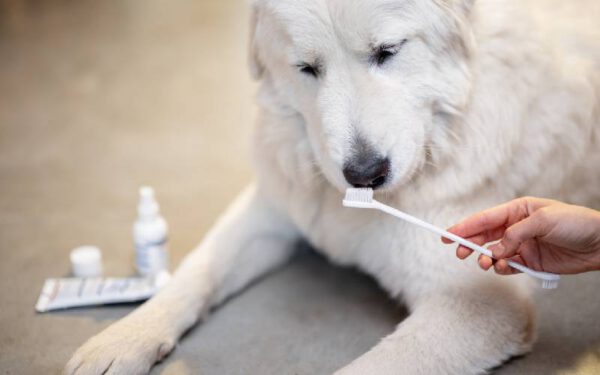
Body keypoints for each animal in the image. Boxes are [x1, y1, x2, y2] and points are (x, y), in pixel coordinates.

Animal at [65, 0, 600, 374]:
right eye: (307, 68)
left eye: (387, 52)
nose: (364, 174)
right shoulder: (271, 211)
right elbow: (194, 273)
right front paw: (121, 339)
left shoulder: (479, 305)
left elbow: (371, 366)